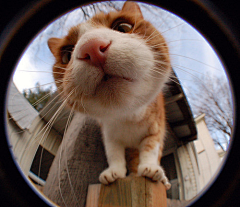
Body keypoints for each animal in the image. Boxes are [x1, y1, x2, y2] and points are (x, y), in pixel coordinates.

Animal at [47, 1, 171, 189]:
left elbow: (150, 149)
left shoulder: (155, 129)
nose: (91, 47)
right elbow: (114, 153)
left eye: (123, 27)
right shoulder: (110, 135)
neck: (127, 115)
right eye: (67, 54)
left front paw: (149, 168)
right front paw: (114, 172)